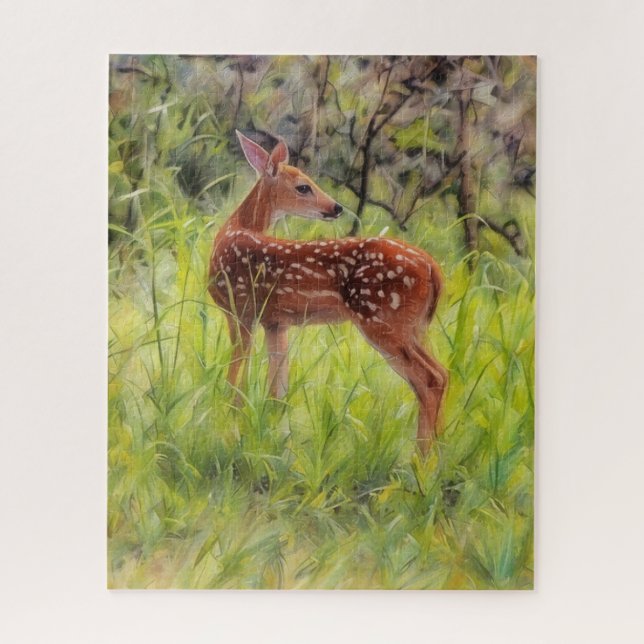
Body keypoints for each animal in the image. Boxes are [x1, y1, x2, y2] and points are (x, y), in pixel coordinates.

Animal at [208, 131, 447, 454]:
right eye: (303, 186)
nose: (336, 207)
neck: (233, 232)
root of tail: (433, 268)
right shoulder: (274, 322)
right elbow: (277, 386)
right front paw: (271, 436)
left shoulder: (241, 310)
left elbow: (237, 373)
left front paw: (230, 422)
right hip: (415, 327)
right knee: (441, 374)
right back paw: (435, 452)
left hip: (382, 320)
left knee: (429, 378)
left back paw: (421, 458)